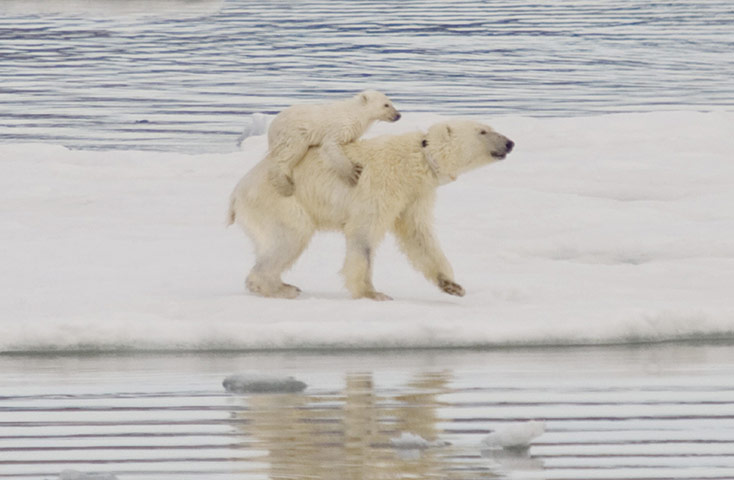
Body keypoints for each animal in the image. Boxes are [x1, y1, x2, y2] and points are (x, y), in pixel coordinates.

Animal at [228, 119, 514, 300]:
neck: (416, 161)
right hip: (280, 201)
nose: (510, 143)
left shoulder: (415, 195)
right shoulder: (383, 184)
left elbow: (418, 236)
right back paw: (278, 287)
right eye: (483, 131)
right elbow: (363, 234)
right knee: (291, 236)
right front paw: (372, 293)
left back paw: (282, 283)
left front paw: (452, 285)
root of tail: (236, 193)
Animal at [265, 90, 401, 197]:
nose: (398, 115)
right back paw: (286, 186)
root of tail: (270, 129)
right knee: (289, 154)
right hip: (293, 133)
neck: (355, 113)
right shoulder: (341, 126)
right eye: (386, 104)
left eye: (390, 102)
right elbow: (330, 145)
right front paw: (353, 173)